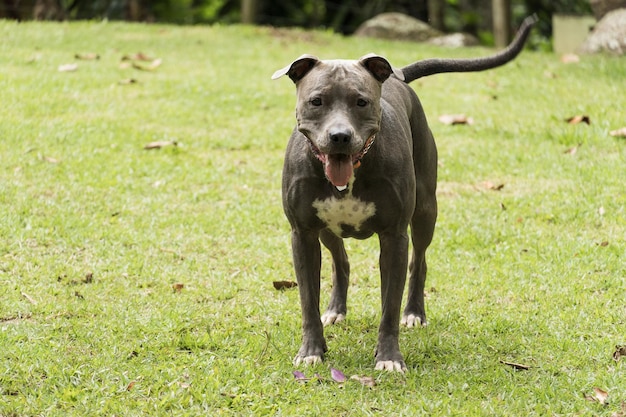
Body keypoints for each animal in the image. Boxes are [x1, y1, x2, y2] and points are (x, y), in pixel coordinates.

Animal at [272, 16, 536, 370]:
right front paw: (311, 350)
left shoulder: (395, 236)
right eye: (316, 101)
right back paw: (336, 310)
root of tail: (398, 77)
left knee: (419, 262)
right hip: (326, 230)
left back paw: (414, 313)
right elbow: (307, 302)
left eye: (361, 102)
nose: (340, 136)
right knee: (341, 262)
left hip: (425, 212)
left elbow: (390, 306)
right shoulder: (302, 234)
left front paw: (388, 357)